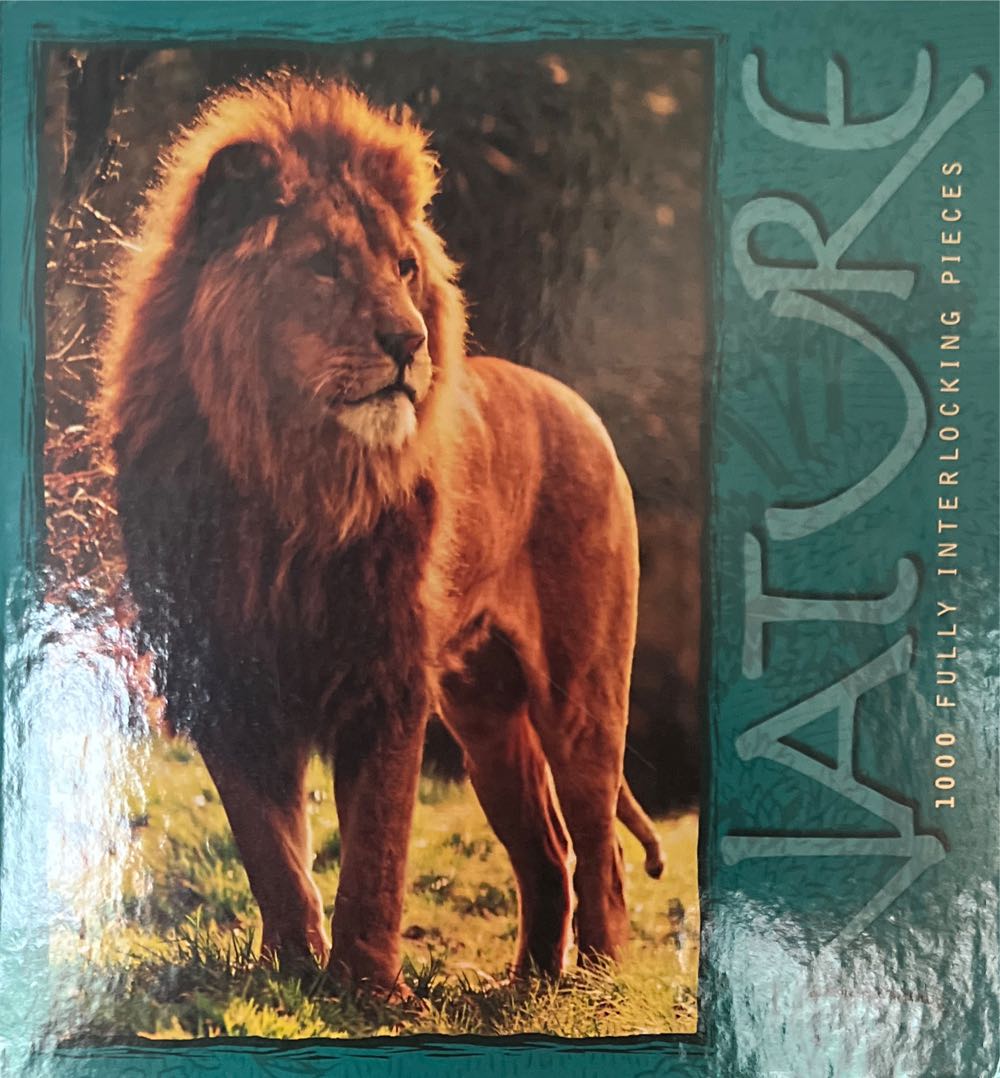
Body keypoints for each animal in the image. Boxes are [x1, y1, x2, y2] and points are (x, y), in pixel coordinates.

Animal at [102, 73, 664, 994]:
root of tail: (574, 401)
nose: (411, 340)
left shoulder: (385, 675)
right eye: (324, 267)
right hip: (486, 716)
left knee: (599, 848)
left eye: (405, 269)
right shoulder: (226, 675)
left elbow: (375, 848)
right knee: (545, 848)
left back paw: (597, 985)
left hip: (580, 694)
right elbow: (271, 849)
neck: (290, 480)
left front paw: (367, 990)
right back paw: (526, 986)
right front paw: (294, 971)